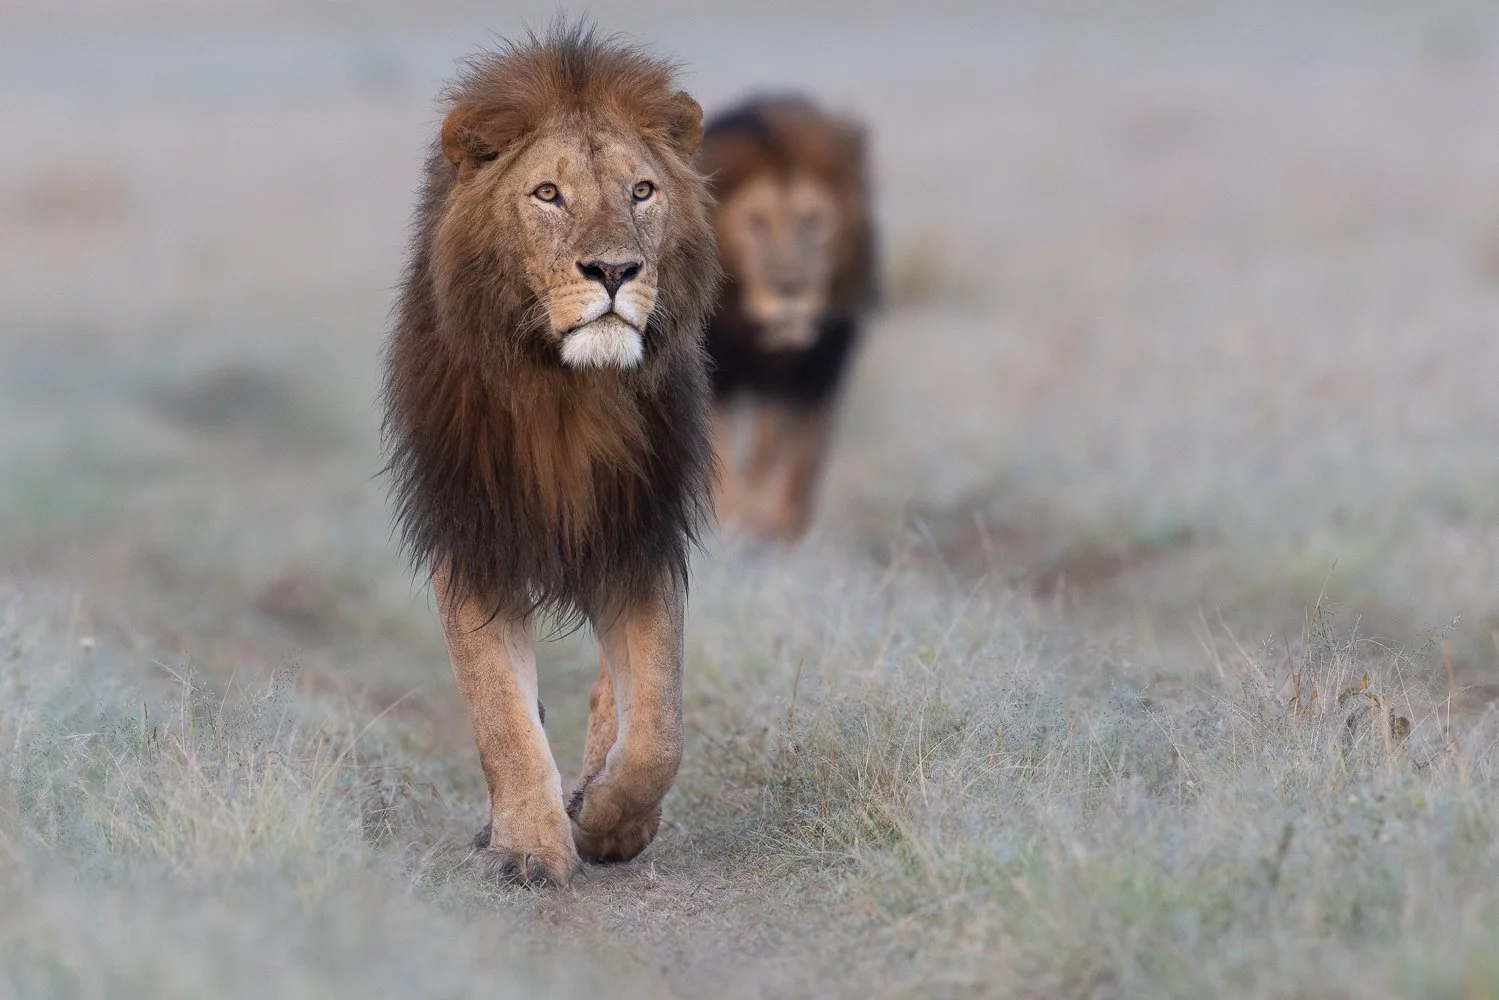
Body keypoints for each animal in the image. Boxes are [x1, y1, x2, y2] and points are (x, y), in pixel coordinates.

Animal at [380, 23, 719, 886]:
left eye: (641, 192)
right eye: (547, 195)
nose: (613, 270)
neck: (567, 390)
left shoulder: (640, 535)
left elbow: (658, 724)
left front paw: (607, 820)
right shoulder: (473, 537)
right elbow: (500, 709)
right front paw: (530, 845)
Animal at [698, 95, 877, 541]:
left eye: (812, 220)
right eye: (756, 223)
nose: (790, 290)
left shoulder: (815, 377)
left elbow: (793, 462)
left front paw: (776, 526)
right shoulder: (715, 376)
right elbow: (721, 455)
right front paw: (731, 521)